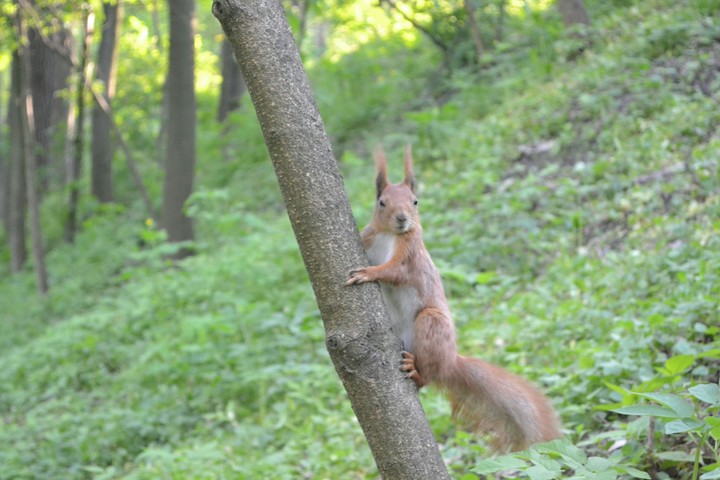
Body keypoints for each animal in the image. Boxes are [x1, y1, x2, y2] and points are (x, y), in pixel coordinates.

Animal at [346, 145, 561, 452]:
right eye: (382, 202)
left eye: (415, 201)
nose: (402, 219)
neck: (389, 235)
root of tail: (450, 361)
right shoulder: (369, 236)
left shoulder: (410, 255)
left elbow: (394, 271)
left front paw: (368, 272)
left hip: (430, 323)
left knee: (428, 376)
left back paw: (417, 371)